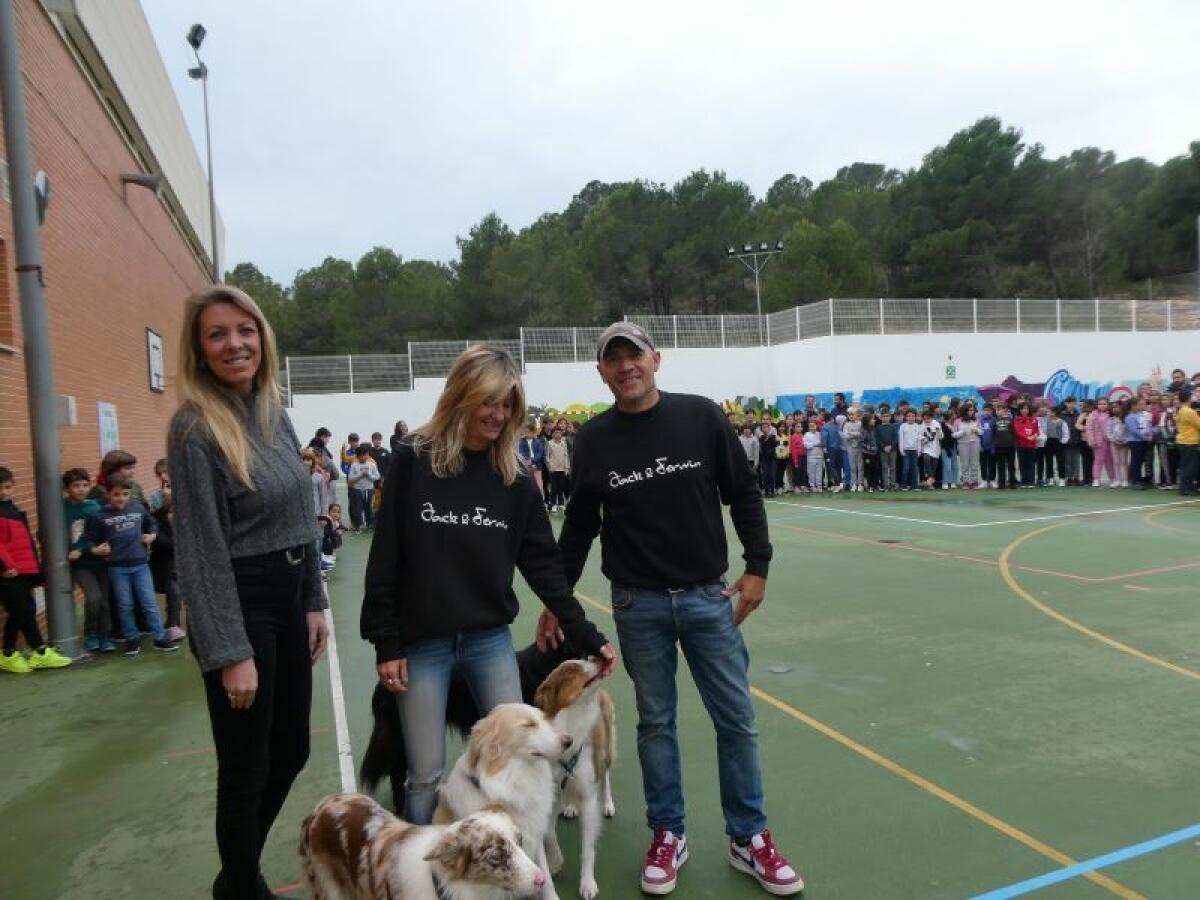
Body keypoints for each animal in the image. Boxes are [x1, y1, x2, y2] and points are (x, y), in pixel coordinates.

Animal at [537, 657, 619, 900]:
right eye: (570, 670)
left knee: (606, 776)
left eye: (585, 659)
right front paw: (555, 861)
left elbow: (587, 850)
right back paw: (571, 806)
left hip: (606, 750)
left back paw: (608, 804)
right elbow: (548, 832)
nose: (597, 657)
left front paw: (587, 884)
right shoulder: (549, 793)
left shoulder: (589, 798)